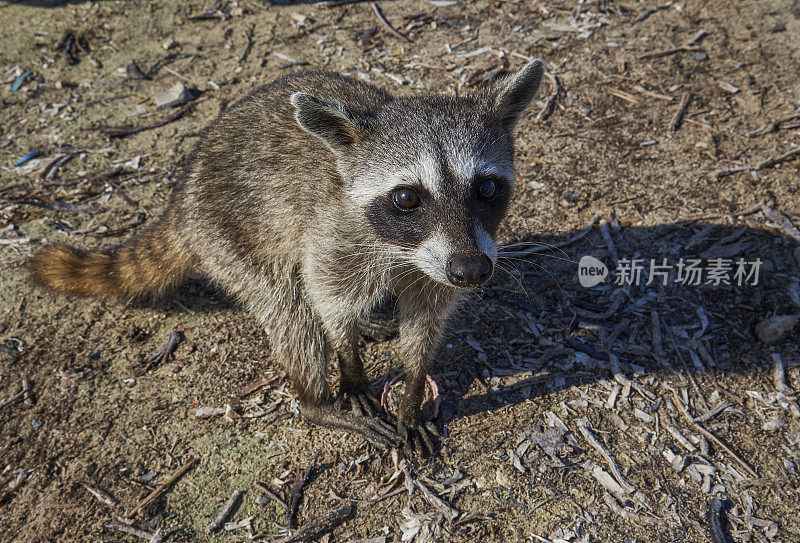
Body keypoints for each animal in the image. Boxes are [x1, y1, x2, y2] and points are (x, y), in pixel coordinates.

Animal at [28, 56, 548, 454]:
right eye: (406, 198)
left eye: (486, 188)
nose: (473, 271)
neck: (403, 247)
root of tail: (181, 197)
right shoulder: (333, 233)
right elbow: (328, 299)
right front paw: (351, 372)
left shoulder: (441, 261)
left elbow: (425, 319)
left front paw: (414, 390)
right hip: (231, 237)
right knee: (291, 312)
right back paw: (317, 400)